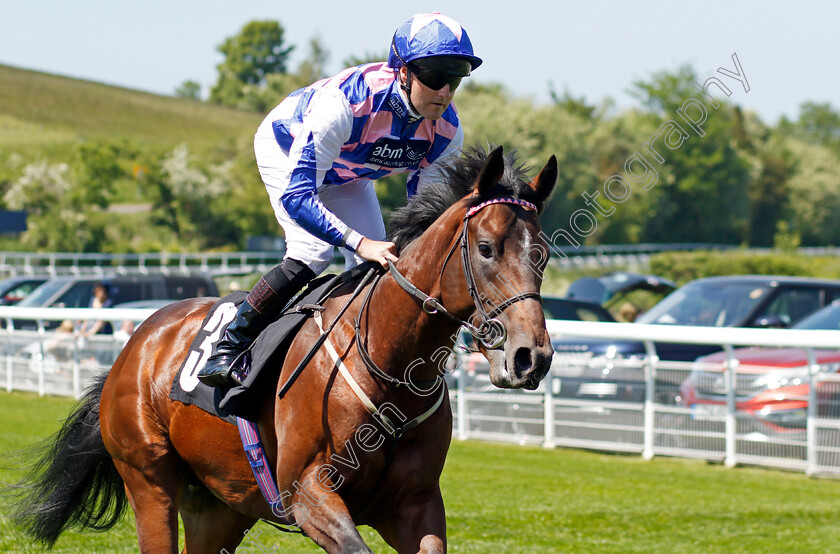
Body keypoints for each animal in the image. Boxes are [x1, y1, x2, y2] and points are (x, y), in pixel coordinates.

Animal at [11, 144, 556, 548]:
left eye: (544, 255)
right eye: (485, 249)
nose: (531, 357)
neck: (388, 363)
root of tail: (135, 345)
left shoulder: (416, 506)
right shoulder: (308, 493)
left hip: (219, 506)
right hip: (149, 480)